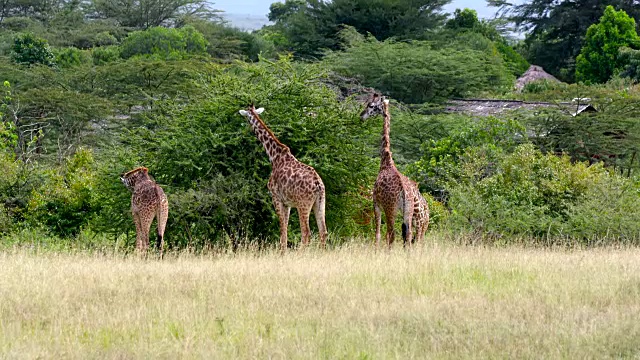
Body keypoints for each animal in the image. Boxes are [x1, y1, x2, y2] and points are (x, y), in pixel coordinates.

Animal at [240, 104, 330, 250]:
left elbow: (282, 229)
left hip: (303, 204)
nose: (245, 126)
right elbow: (285, 228)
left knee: (306, 232)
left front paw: (282, 252)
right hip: (320, 201)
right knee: (323, 231)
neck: (274, 156)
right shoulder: (287, 203)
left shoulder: (276, 198)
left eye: (246, 117)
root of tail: (318, 185)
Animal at [362, 93, 418, 248]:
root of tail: (404, 192)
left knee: (391, 234)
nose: (361, 116)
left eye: (371, 105)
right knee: (408, 235)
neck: (386, 161)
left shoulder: (376, 203)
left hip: (390, 208)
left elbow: (377, 234)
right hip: (408, 210)